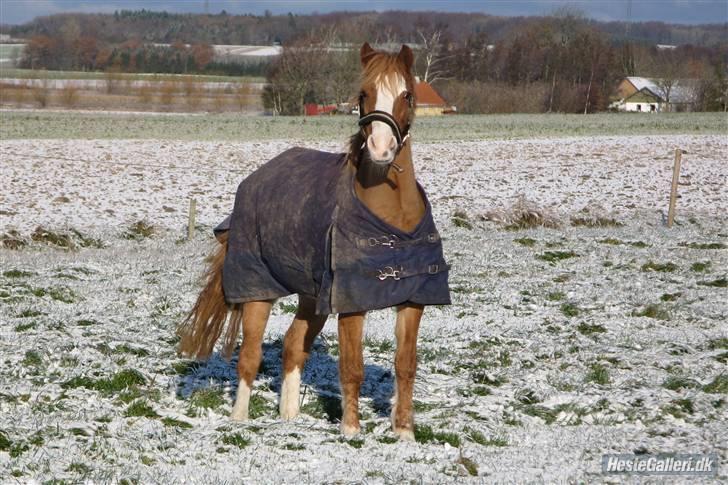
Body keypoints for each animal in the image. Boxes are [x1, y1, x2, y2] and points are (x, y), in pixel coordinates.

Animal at [178, 43, 450, 440]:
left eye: (407, 95)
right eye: (363, 94)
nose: (380, 149)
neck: (391, 222)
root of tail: (256, 179)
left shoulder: (413, 300)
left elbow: (405, 365)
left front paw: (404, 433)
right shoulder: (351, 303)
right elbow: (352, 366)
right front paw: (351, 430)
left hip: (312, 297)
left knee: (293, 346)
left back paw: (289, 417)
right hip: (258, 292)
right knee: (250, 356)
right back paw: (239, 420)